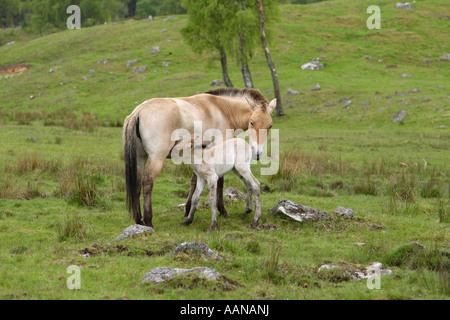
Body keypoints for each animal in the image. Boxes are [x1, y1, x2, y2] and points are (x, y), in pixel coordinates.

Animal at [124, 87, 278, 228]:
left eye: (270, 126)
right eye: (252, 122)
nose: (257, 153)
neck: (223, 110)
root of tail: (138, 112)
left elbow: (194, 182)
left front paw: (188, 211)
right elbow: (220, 182)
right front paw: (222, 211)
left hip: (140, 158)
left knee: (137, 184)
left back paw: (139, 221)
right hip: (156, 159)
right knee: (147, 182)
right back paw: (148, 221)